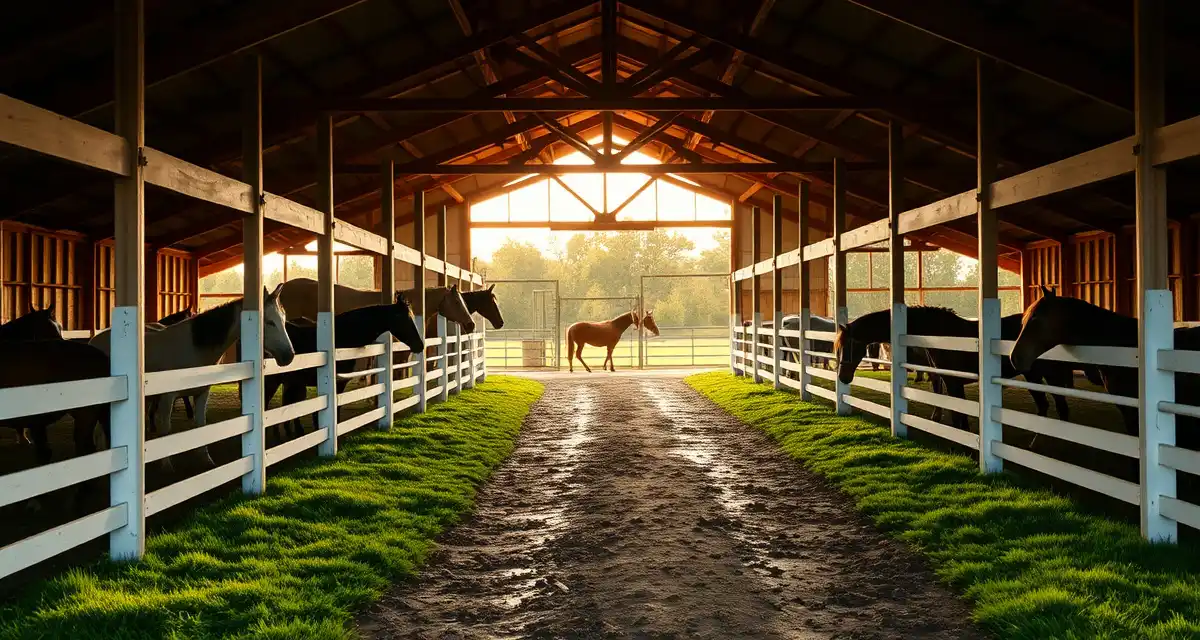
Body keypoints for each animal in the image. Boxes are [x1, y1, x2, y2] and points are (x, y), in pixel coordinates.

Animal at [90, 285, 295, 469]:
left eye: (283, 319)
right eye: (269, 321)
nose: (289, 355)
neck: (194, 348)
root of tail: (93, 342)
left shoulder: (201, 394)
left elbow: (200, 425)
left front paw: (206, 460)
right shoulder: (168, 397)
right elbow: (165, 428)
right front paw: (167, 465)